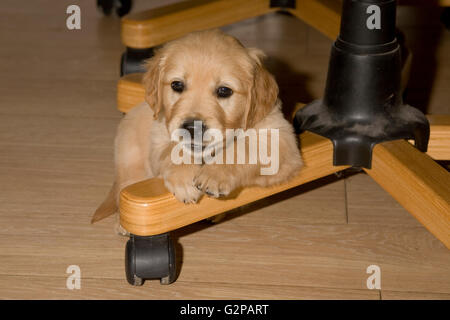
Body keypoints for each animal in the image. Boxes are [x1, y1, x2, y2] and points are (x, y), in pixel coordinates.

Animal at [91, 30, 302, 224]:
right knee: (125, 188)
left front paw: (215, 174)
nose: (192, 128)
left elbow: (243, 148)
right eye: (177, 85)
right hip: (130, 157)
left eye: (224, 90)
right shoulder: (159, 137)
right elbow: (172, 150)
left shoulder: (279, 137)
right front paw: (183, 178)